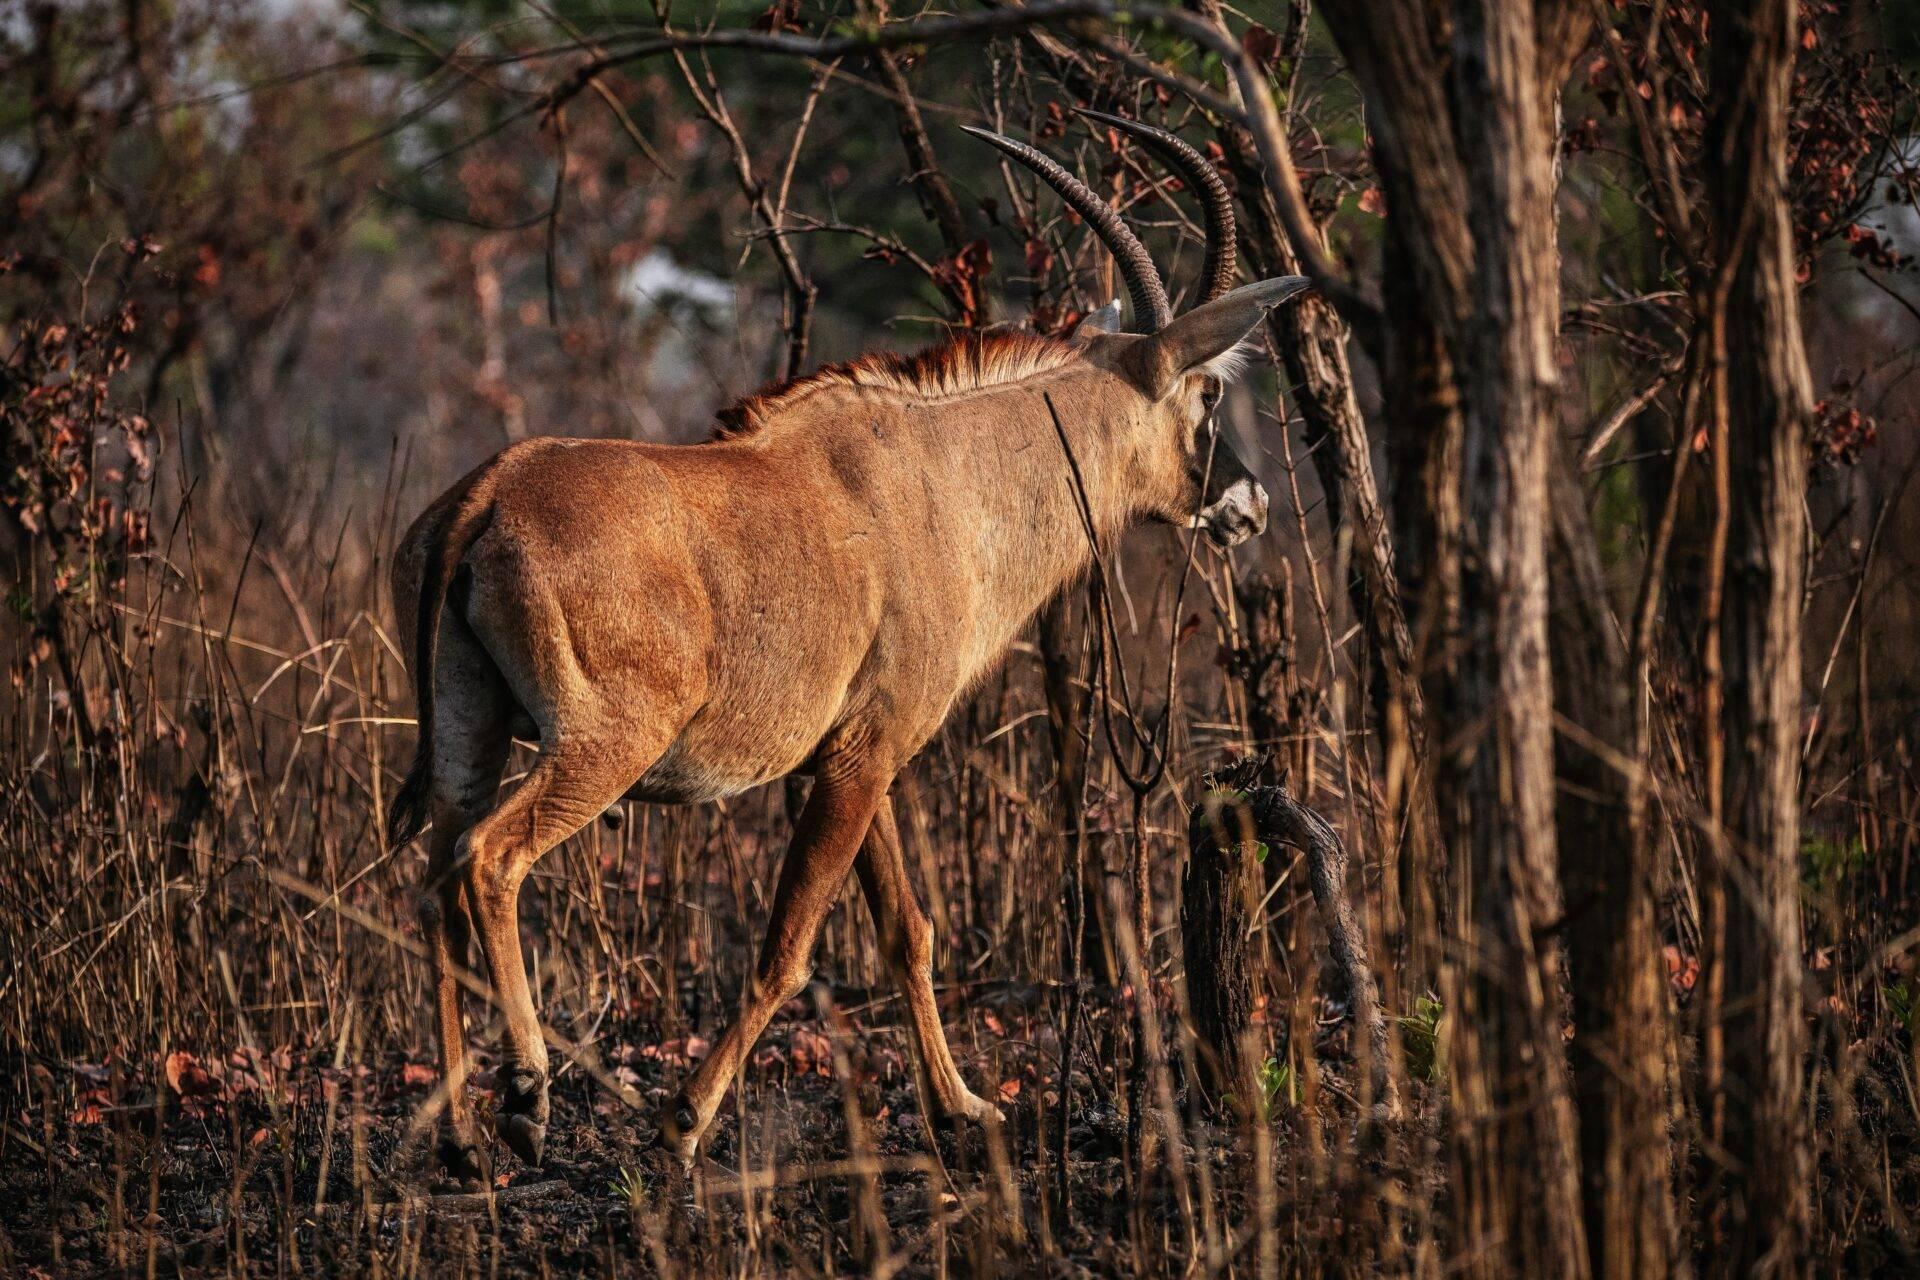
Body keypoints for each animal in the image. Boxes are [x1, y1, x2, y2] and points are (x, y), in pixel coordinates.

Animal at [388, 112, 1310, 1184]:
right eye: (1207, 396)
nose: (1249, 504)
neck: (950, 478)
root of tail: (487, 492)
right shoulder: (863, 758)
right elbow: (788, 949)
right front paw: (683, 1123)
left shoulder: (858, 756)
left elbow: (906, 931)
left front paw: (964, 1111)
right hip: (600, 746)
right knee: (488, 859)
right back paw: (528, 1100)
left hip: (470, 732)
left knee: (435, 883)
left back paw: (460, 1138)